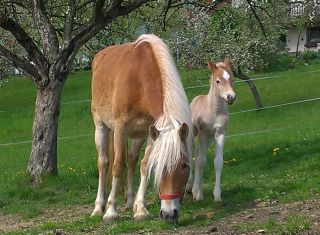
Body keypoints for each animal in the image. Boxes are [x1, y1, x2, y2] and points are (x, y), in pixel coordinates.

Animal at [91, 33, 194, 222]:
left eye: (185, 165)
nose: (169, 214)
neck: (139, 78)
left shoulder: (151, 131)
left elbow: (144, 164)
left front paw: (140, 209)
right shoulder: (121, 128)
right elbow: (118, 165)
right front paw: (111, 211)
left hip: (138, 135)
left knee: (132, 159)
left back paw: (130, 202)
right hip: (101, 127)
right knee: (103, 163)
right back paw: (98, 207)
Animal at [190, 60, 235, 202]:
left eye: (232, 79)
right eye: (218, 81)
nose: (231, 97)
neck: (214, 111)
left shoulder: (220, 133)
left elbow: (218, 162)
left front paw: (217, 196)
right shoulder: (203, 134)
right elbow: (201, 162)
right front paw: (198, 195)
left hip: (210, 139)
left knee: (197, 157)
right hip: (193, 135)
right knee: (193, 156)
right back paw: (191, 188)